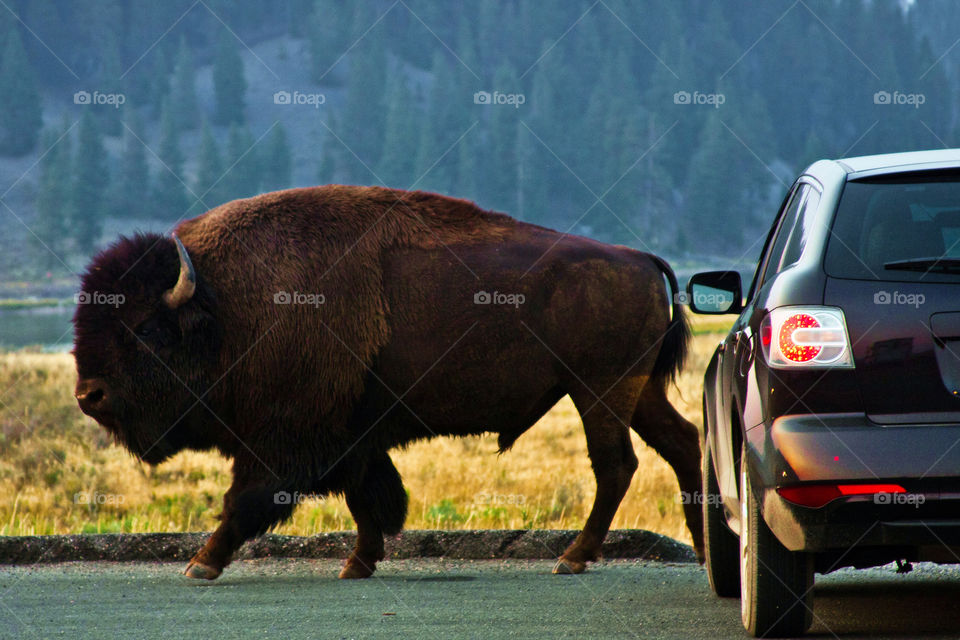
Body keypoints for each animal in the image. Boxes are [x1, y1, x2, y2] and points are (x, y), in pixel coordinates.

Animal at [73, 185, 703, 580]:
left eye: (146, 329)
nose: (88, 395)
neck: (224, 307)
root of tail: (640, 258)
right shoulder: (351, 436)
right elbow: (367, 497)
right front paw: (358, 563)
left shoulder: (284, 441)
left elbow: (246, 501)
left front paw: (200, 563)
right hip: (636, 390)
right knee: (682, 444)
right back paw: (700, 546)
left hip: (599, 389)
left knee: (615, 465)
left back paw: (572, 557)